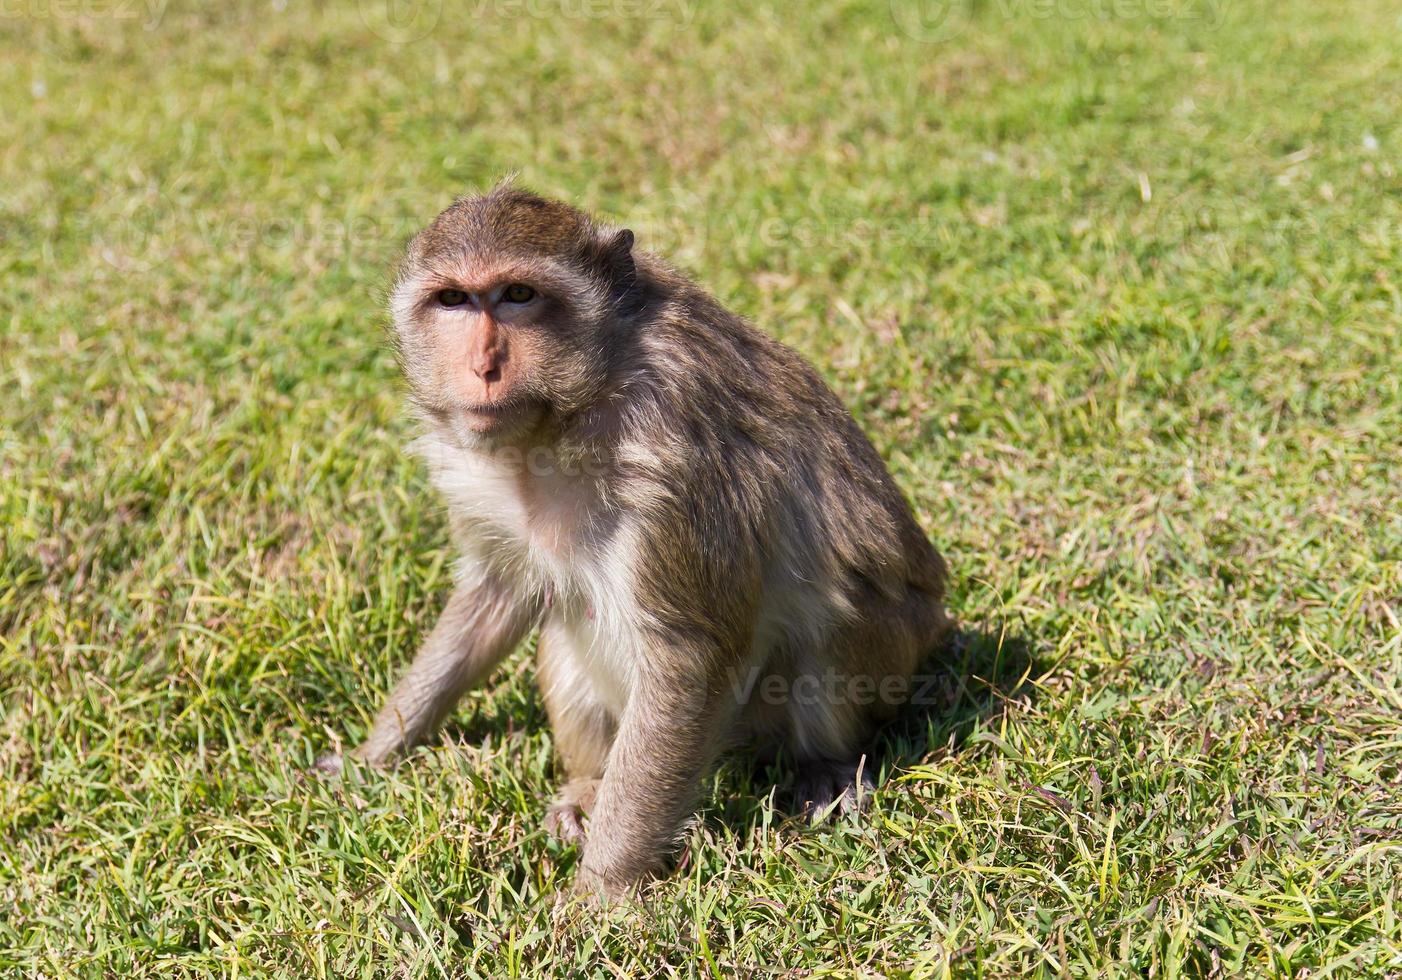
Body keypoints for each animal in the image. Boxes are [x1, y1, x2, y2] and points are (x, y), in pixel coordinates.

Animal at [318, 182, 953, 897]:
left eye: (518, 295)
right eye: (453, 299)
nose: (483, 366)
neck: (570, 412)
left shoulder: (670, 450)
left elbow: (688, 657)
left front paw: (597, 900)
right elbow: (495, 597)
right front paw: (373, 756)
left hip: (893, 645)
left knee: (835, 625)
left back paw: (826, 768)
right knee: (565, 623)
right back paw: (589, 787)